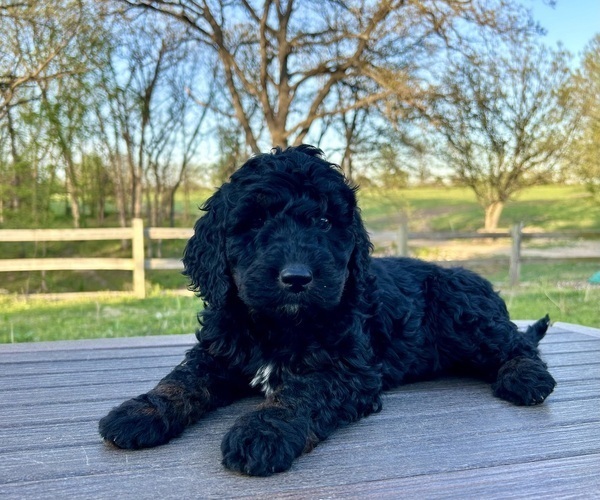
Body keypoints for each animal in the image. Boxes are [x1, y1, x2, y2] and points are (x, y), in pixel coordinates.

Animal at [97, 145, 552, 476]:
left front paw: (263, 431)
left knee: (518, 344)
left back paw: (526, 378)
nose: (297, 278)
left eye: (323, 221)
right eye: (256, 221)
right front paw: (141, 410)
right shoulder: (218, 351)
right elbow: (182, 379)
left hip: (464, 314)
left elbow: (301, 394)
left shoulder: (347, 369)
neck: (280, 324)